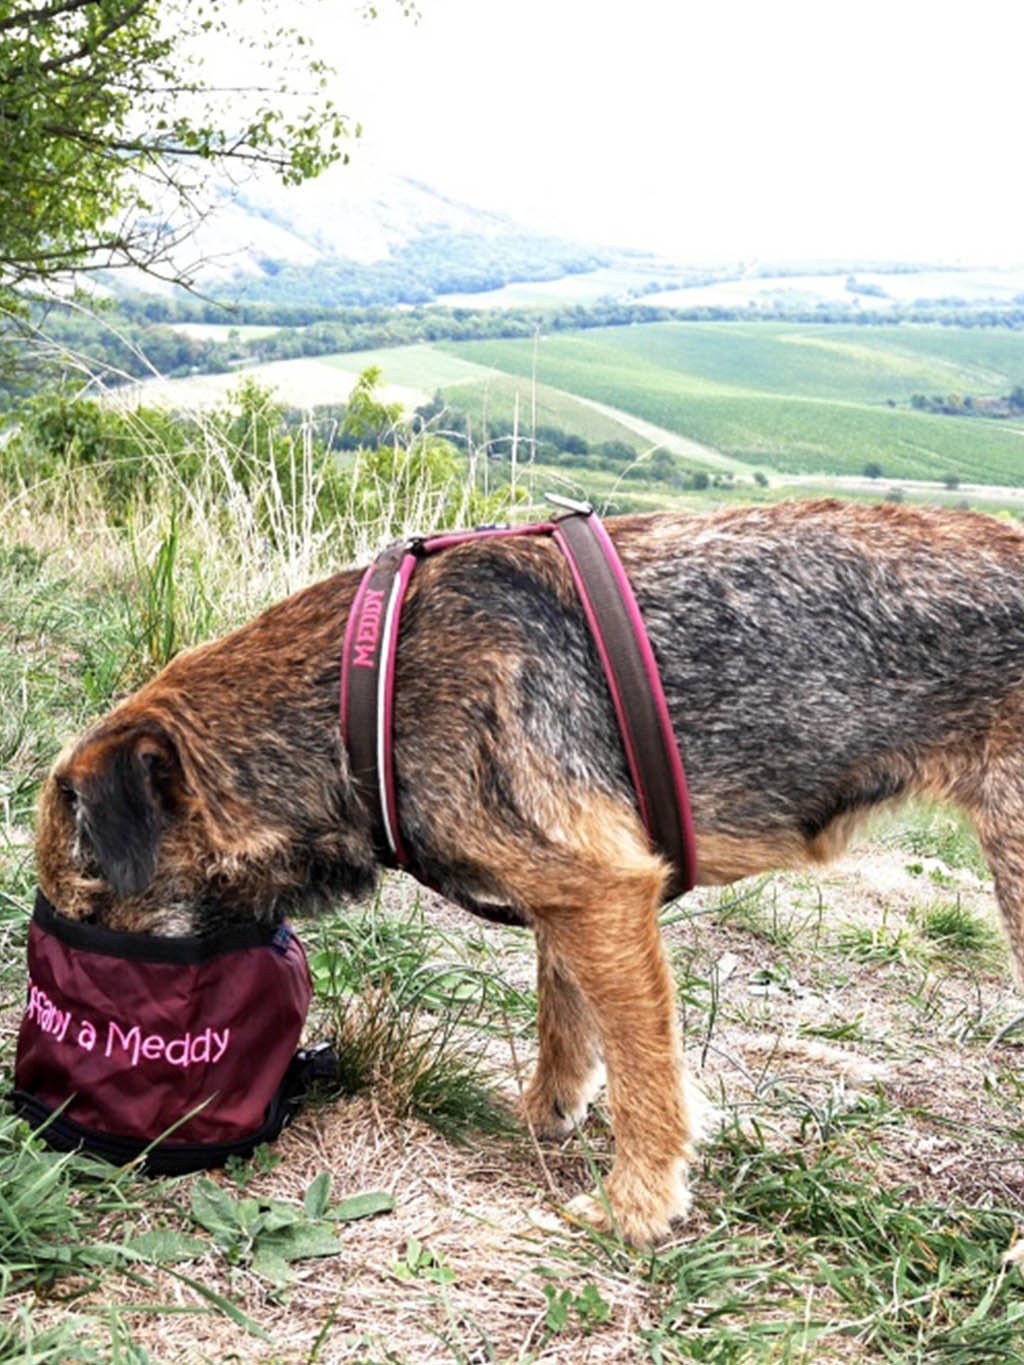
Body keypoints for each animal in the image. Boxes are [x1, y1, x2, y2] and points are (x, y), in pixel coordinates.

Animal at [36, 502, 1024, 1250]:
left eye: (81, 893)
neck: (370, 694)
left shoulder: (605, 887)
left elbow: (644, 1071)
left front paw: (635, 1205)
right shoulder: (567, 887)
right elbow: (565, 1005)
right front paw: (549, 1109)